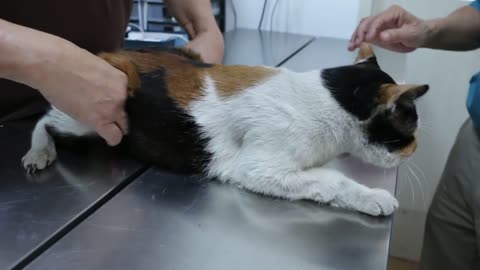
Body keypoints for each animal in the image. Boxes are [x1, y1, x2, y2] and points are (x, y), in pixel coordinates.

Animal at [21, 43, 428, 216]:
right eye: (410, 126)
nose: (417, 149)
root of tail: (110, 55)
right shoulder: (258, 167)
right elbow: (331, 181)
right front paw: (373, 197)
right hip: (91, 117)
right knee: (45, 118)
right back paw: (38, 152)